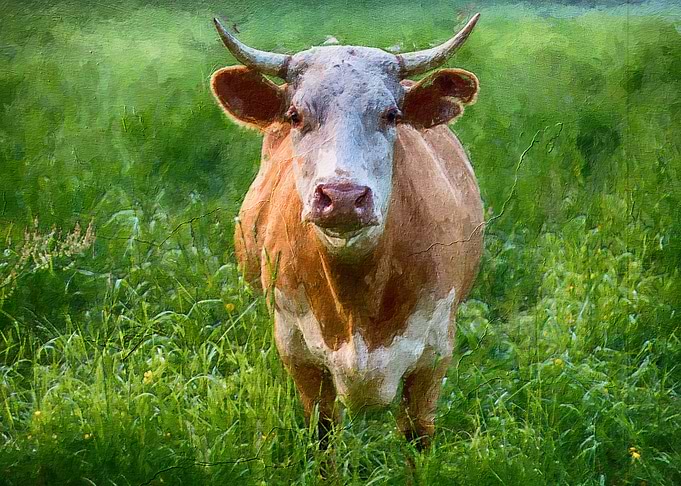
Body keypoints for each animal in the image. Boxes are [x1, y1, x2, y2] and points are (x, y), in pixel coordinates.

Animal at [210, 14, 484, 451]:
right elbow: (322, 435)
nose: (342, 197)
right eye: (295, 115)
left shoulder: (434, 356)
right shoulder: (297, 353)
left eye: (391, 115)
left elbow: (417, 437)